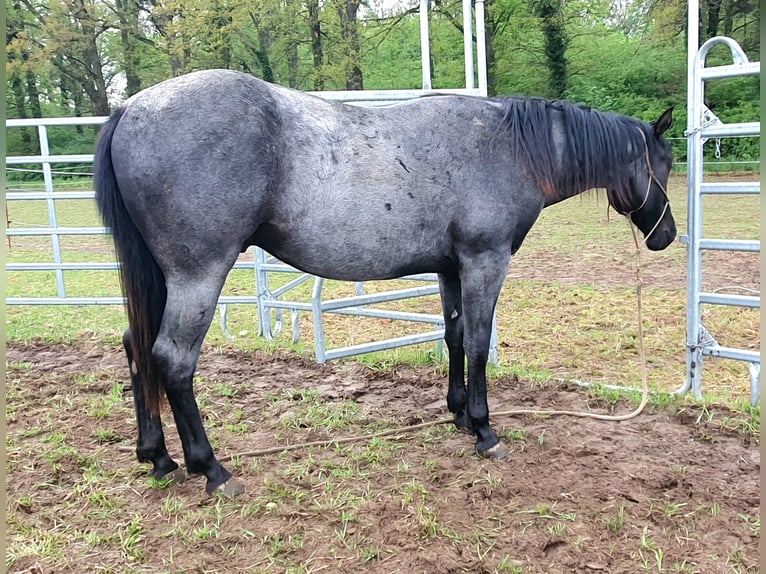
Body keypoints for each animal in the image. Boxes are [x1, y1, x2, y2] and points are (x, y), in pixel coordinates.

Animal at [94, 69, 676, 496]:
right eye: (665, 163)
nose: (666, 235)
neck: (507, 148)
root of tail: (131, 110)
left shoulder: (450, 267)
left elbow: (454, 336)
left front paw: (458, 415)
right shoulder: (485, 261)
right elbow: (480, 342)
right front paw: (485, 429)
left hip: (161, 279)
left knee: (135, 346)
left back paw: (158, 457)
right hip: (198, 273)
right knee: (173, 358)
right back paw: (211, 469)